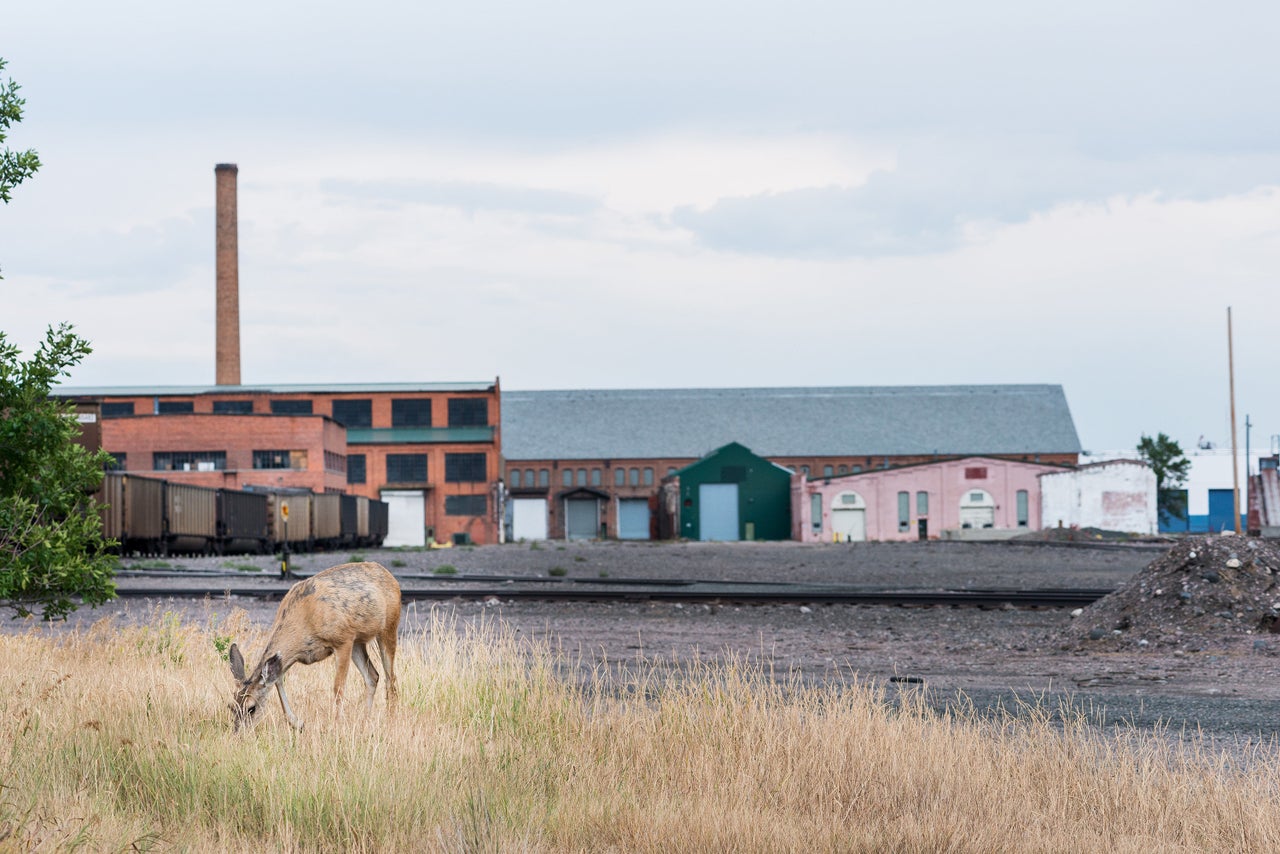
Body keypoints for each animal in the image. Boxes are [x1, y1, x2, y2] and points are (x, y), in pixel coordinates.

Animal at [229, 558, 399, 732]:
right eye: (232, 707)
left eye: (251, 708)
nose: (238, 732)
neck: (304, 619)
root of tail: (389, 575)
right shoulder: (295, 655)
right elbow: (278, 679)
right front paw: (298, 723)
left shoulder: (343, 640)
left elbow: (338, 687)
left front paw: (335, 726)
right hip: (358, 642)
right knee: (373, 676)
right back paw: (365, 721)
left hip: (389, 626)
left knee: (390, 678)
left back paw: (390, 720)